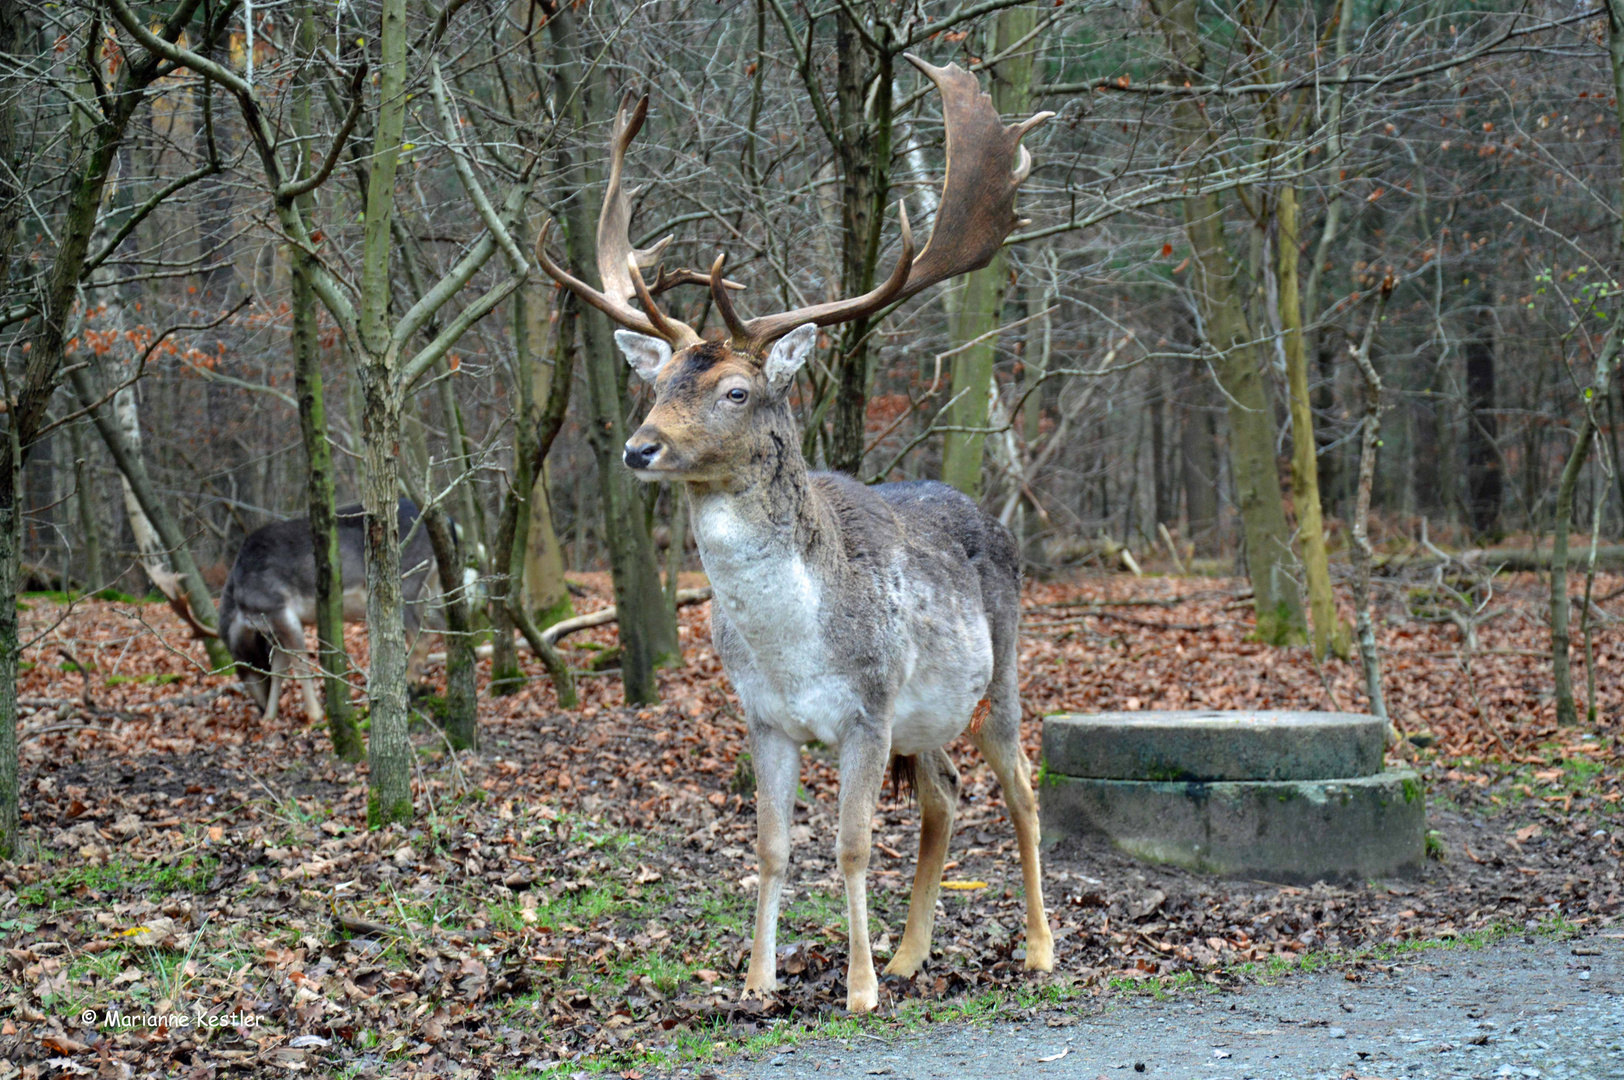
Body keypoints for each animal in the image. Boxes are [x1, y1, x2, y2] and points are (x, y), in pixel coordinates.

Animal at [535, 56, 1052, 1013]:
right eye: (657, 380)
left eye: (737, 391)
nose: (638, 448)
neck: (795, 644)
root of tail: (993, 521)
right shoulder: (762, 717)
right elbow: (772, 848)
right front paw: (758, 980)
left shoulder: (867, 707)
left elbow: (850, 845)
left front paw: (856, 990)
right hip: (926, 717)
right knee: (945, 796)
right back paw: (913, 955)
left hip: (999, 668)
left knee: (1022, 788)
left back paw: (1036, 950)